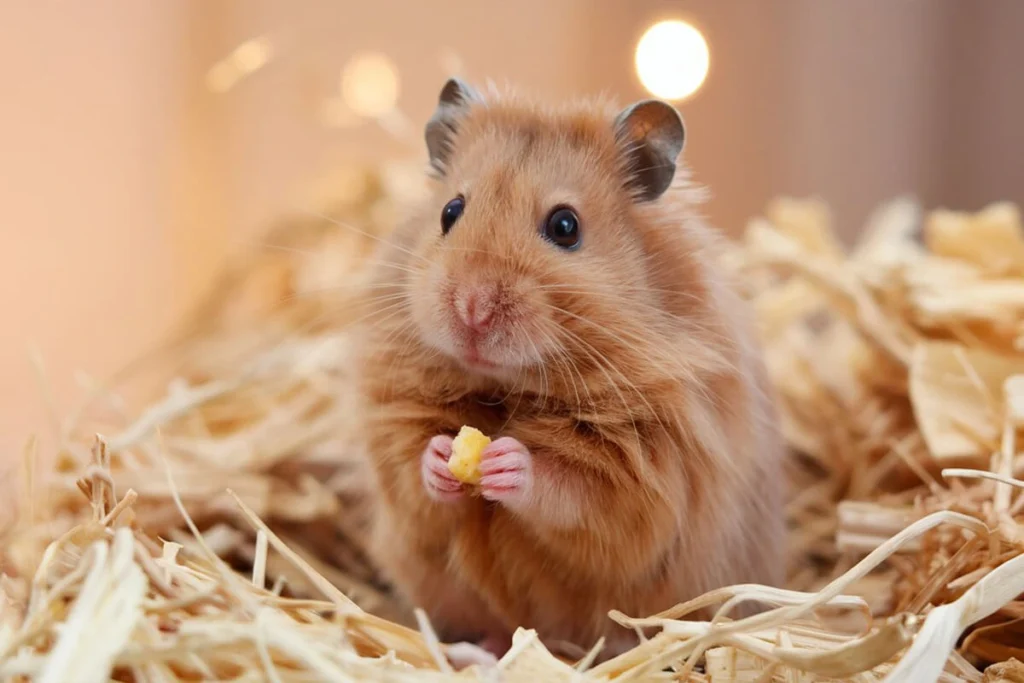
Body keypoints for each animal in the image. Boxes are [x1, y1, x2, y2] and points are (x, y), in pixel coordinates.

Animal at [352, 80, 782, 663]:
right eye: (450, 211)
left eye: (565, 226)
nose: (472, 308)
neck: (509, 387)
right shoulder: (394, 431)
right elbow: (413, 476)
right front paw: (443, 456)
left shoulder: (645, 469)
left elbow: (572, 490)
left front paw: (508, 462)